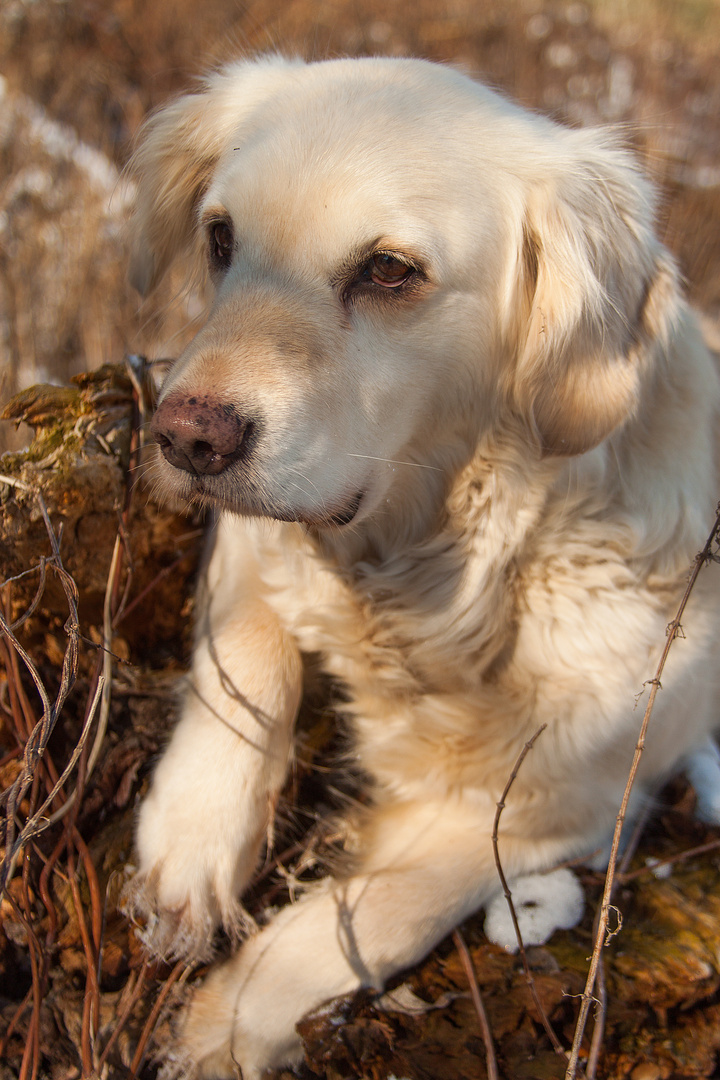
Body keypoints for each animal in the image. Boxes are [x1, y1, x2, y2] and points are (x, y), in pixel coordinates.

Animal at [125, 56, 720, 1080]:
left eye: (390, 270)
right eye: (220, 237)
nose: (187, 437)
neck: (431, 570)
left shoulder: (573, 804)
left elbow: (387, 904)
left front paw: (232, 1021)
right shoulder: (257, 539)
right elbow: (242, 664)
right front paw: (188, 851)